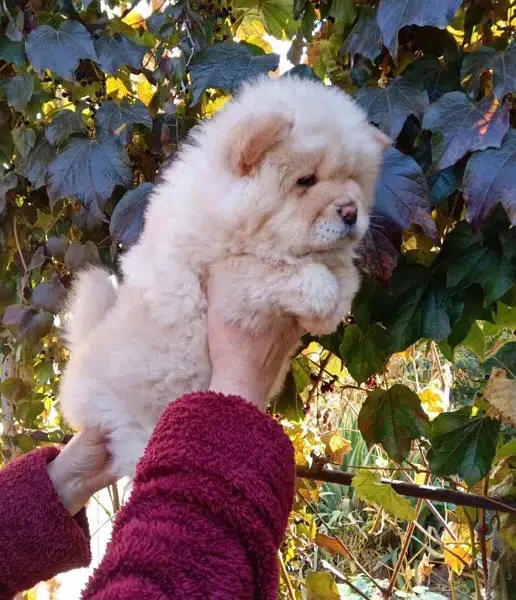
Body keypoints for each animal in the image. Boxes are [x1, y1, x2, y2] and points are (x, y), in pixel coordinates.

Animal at [58, 76, 390, 478]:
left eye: (353, 180)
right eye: (306, 181)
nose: (351, 211)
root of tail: (79, 373)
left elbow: (343, 274)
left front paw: (334, 295)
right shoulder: (227, 276)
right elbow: (270, 270)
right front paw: (320, 293)